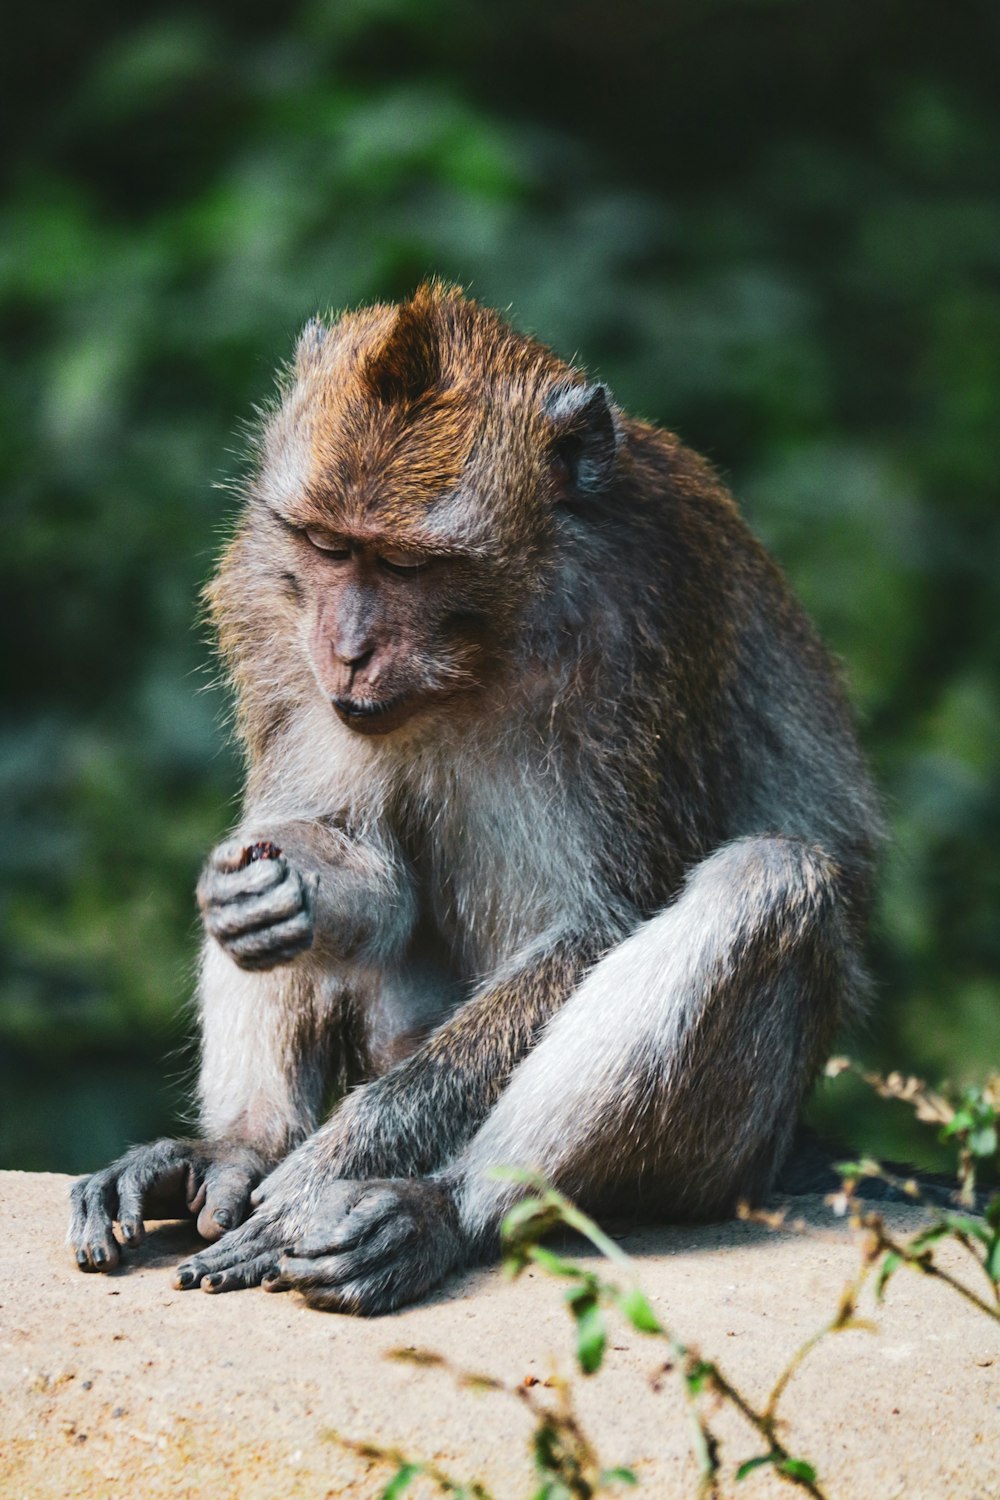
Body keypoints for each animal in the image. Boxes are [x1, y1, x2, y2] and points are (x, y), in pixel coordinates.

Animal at [68, 282, 881, 1314]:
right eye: (329, 547)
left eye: (408, 566)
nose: (346, 650)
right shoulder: (264, 601)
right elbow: (312, 841)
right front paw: (274, 892)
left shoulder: (643, 634)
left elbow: (592, 928)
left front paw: (340, 1160)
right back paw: (237, 1146)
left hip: (736, 1156)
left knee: (770, 880)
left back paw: (434, 1209)